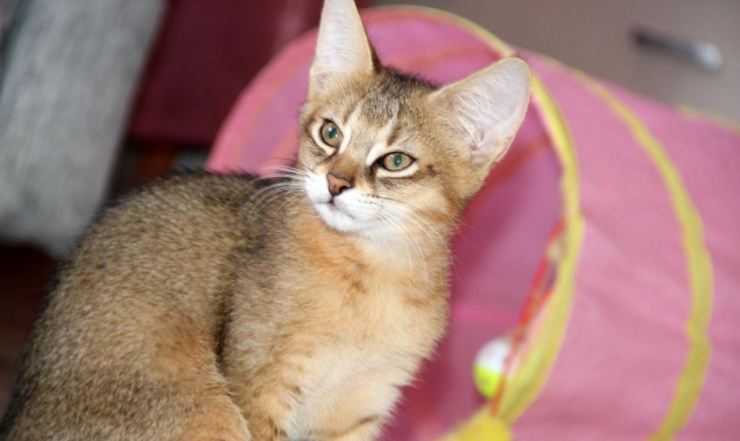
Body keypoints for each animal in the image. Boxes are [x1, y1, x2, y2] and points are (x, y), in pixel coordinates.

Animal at [0, 0, 530, 440]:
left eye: (396, 161)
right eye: (330, 132)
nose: (335, 183)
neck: (373, 279)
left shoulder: (360, 409)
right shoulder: (261, 387)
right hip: (207, 412)